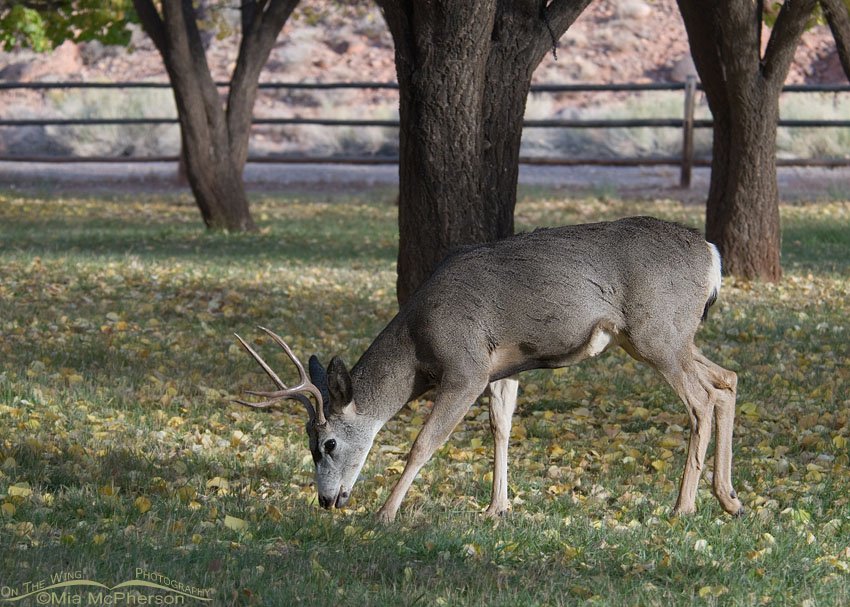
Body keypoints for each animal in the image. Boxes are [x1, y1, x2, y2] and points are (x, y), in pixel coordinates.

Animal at [233, 216, 743, 523]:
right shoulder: (502, 368)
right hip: (663, 338)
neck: (419, 344)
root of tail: (712, 255)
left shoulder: (467, 367)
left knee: (701, 400)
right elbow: (502, 429)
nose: (325, 499)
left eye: (328, 444)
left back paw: (683, 507)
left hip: (656, 333)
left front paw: (385, 514)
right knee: (727, 380)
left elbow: (423, 444)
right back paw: (729, 499)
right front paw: (497, 508)